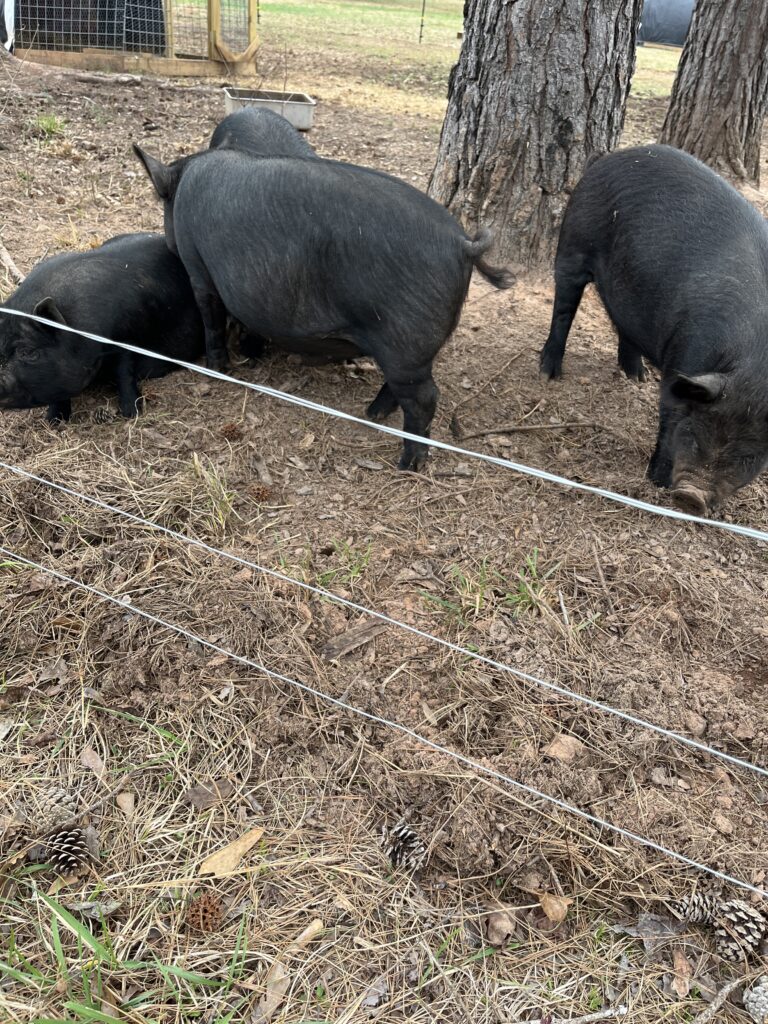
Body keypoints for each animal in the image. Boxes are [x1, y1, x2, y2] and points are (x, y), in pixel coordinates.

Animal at [135, 145, 514, 471]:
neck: (183, 183)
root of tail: (462, 243)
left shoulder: (198, 269)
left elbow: (212, 320)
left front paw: (217, 369)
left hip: (404, 338)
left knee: (424, 398)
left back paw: (407, 463)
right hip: (411, 348)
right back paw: (372, 414)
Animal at [536, 144, 768, 512]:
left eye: (748, 457)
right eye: (694, 434)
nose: (692, 497)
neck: (754, 365)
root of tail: (611, 157)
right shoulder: (685, 359)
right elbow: (668, 419)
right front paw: (656, 483)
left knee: (624, 324)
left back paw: (637, 376)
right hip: (573, 244)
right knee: (563, 308)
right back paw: (549, 373)